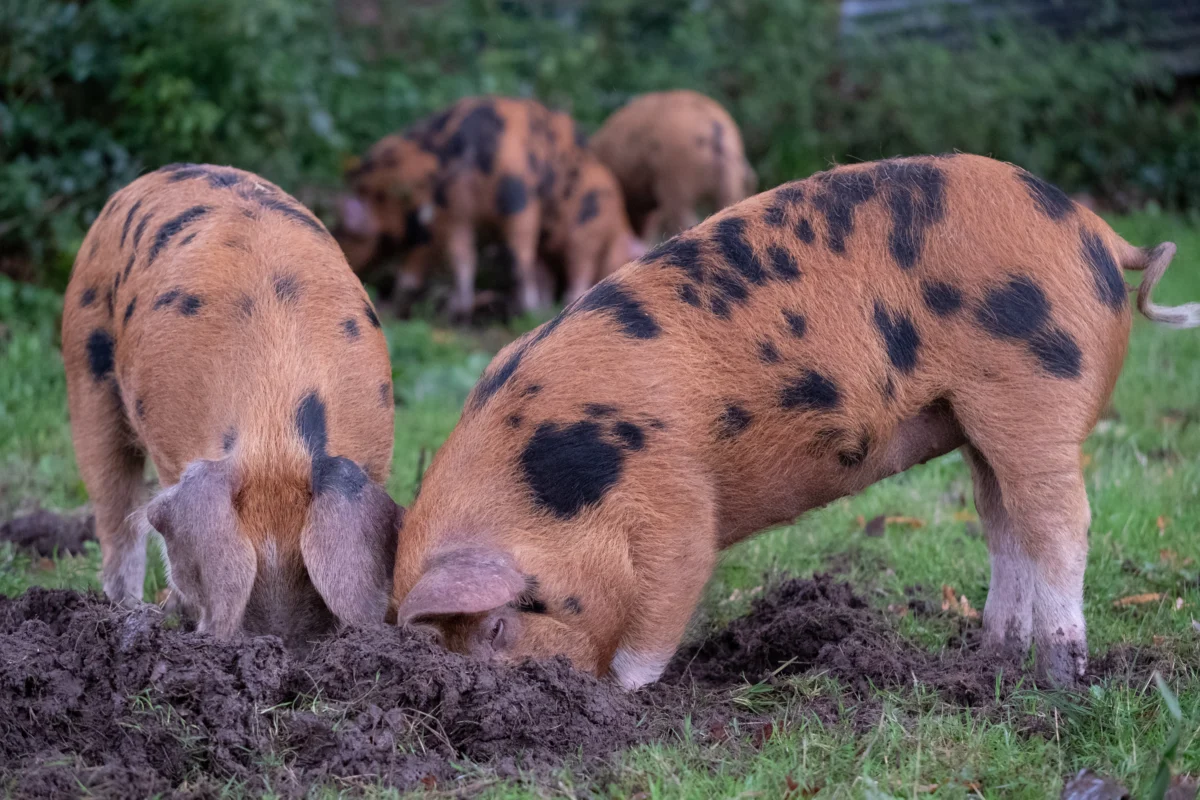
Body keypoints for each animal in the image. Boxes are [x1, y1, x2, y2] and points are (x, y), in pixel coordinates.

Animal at [62, 164, 401, 647]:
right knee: (114, 510)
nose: (282, 641)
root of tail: (156, 175)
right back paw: (130, 611)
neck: (275, 429)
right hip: (85, 364)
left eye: (307, 571)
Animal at [335, 96, 592, 318]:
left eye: (346, 232)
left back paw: (461, 312)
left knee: (466, 259)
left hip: (465, 209)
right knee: (518, 261)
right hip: (517, 203)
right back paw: (525, 310)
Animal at [389, 154, 1200, 689]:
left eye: (498, 624)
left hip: (1034, 390)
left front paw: (618, 701)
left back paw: (1058, 683)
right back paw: (990, 660)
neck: (557, 481)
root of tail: (1099, 233)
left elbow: (657, 619)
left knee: (1060, 522)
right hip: (975, 418)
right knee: (1005, 524)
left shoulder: (677, 504)